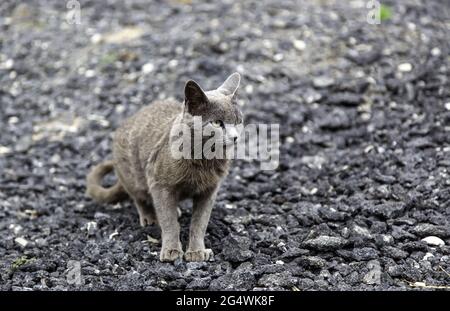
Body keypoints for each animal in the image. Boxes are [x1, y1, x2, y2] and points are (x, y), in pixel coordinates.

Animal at [87, 73, 243, 264]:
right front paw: (171, 251)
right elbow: (168, 221)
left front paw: (196, 252)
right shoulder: (159, 183)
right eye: (216, 123)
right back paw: (150, 217)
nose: (235, 137)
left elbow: (200, 222)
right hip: (133, 176)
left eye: (238, 121)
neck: (204, 160)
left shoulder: (210, 190)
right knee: (140, 198)